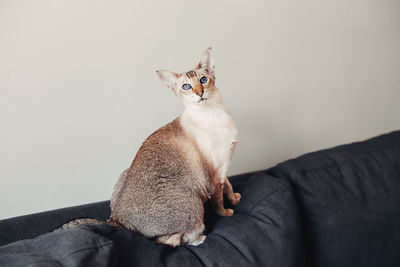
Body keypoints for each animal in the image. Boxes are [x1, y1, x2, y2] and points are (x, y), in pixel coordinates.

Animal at [60, 47, 241, 247]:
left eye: (203, 80)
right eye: (186, 87)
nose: (199, 93)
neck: (214, 111)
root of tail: (117, 220)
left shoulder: (222, 168)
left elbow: (228, 185)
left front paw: (234, 199)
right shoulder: (216, 172)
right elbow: (219, 199)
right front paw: (226, 212)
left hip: (125, 172)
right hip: (194, 203)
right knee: (171, 240)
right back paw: (199, 238)